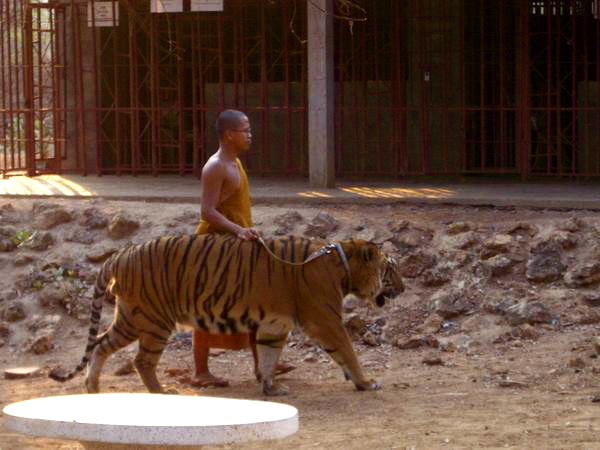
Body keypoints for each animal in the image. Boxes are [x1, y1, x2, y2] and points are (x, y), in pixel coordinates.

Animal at [50, 234, 404, 396]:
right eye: (391, 269)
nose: (403, 288)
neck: (344, 268)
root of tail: (121, 253)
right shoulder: (326, 320)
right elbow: (348, 351)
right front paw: (366, 382)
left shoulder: (274, 326)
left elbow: (267, 357)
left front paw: (271, 387)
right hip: (155, 320)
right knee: (142, 361)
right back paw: (162, 394)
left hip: (131, 318)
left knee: (99, 344)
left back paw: (93, 388)